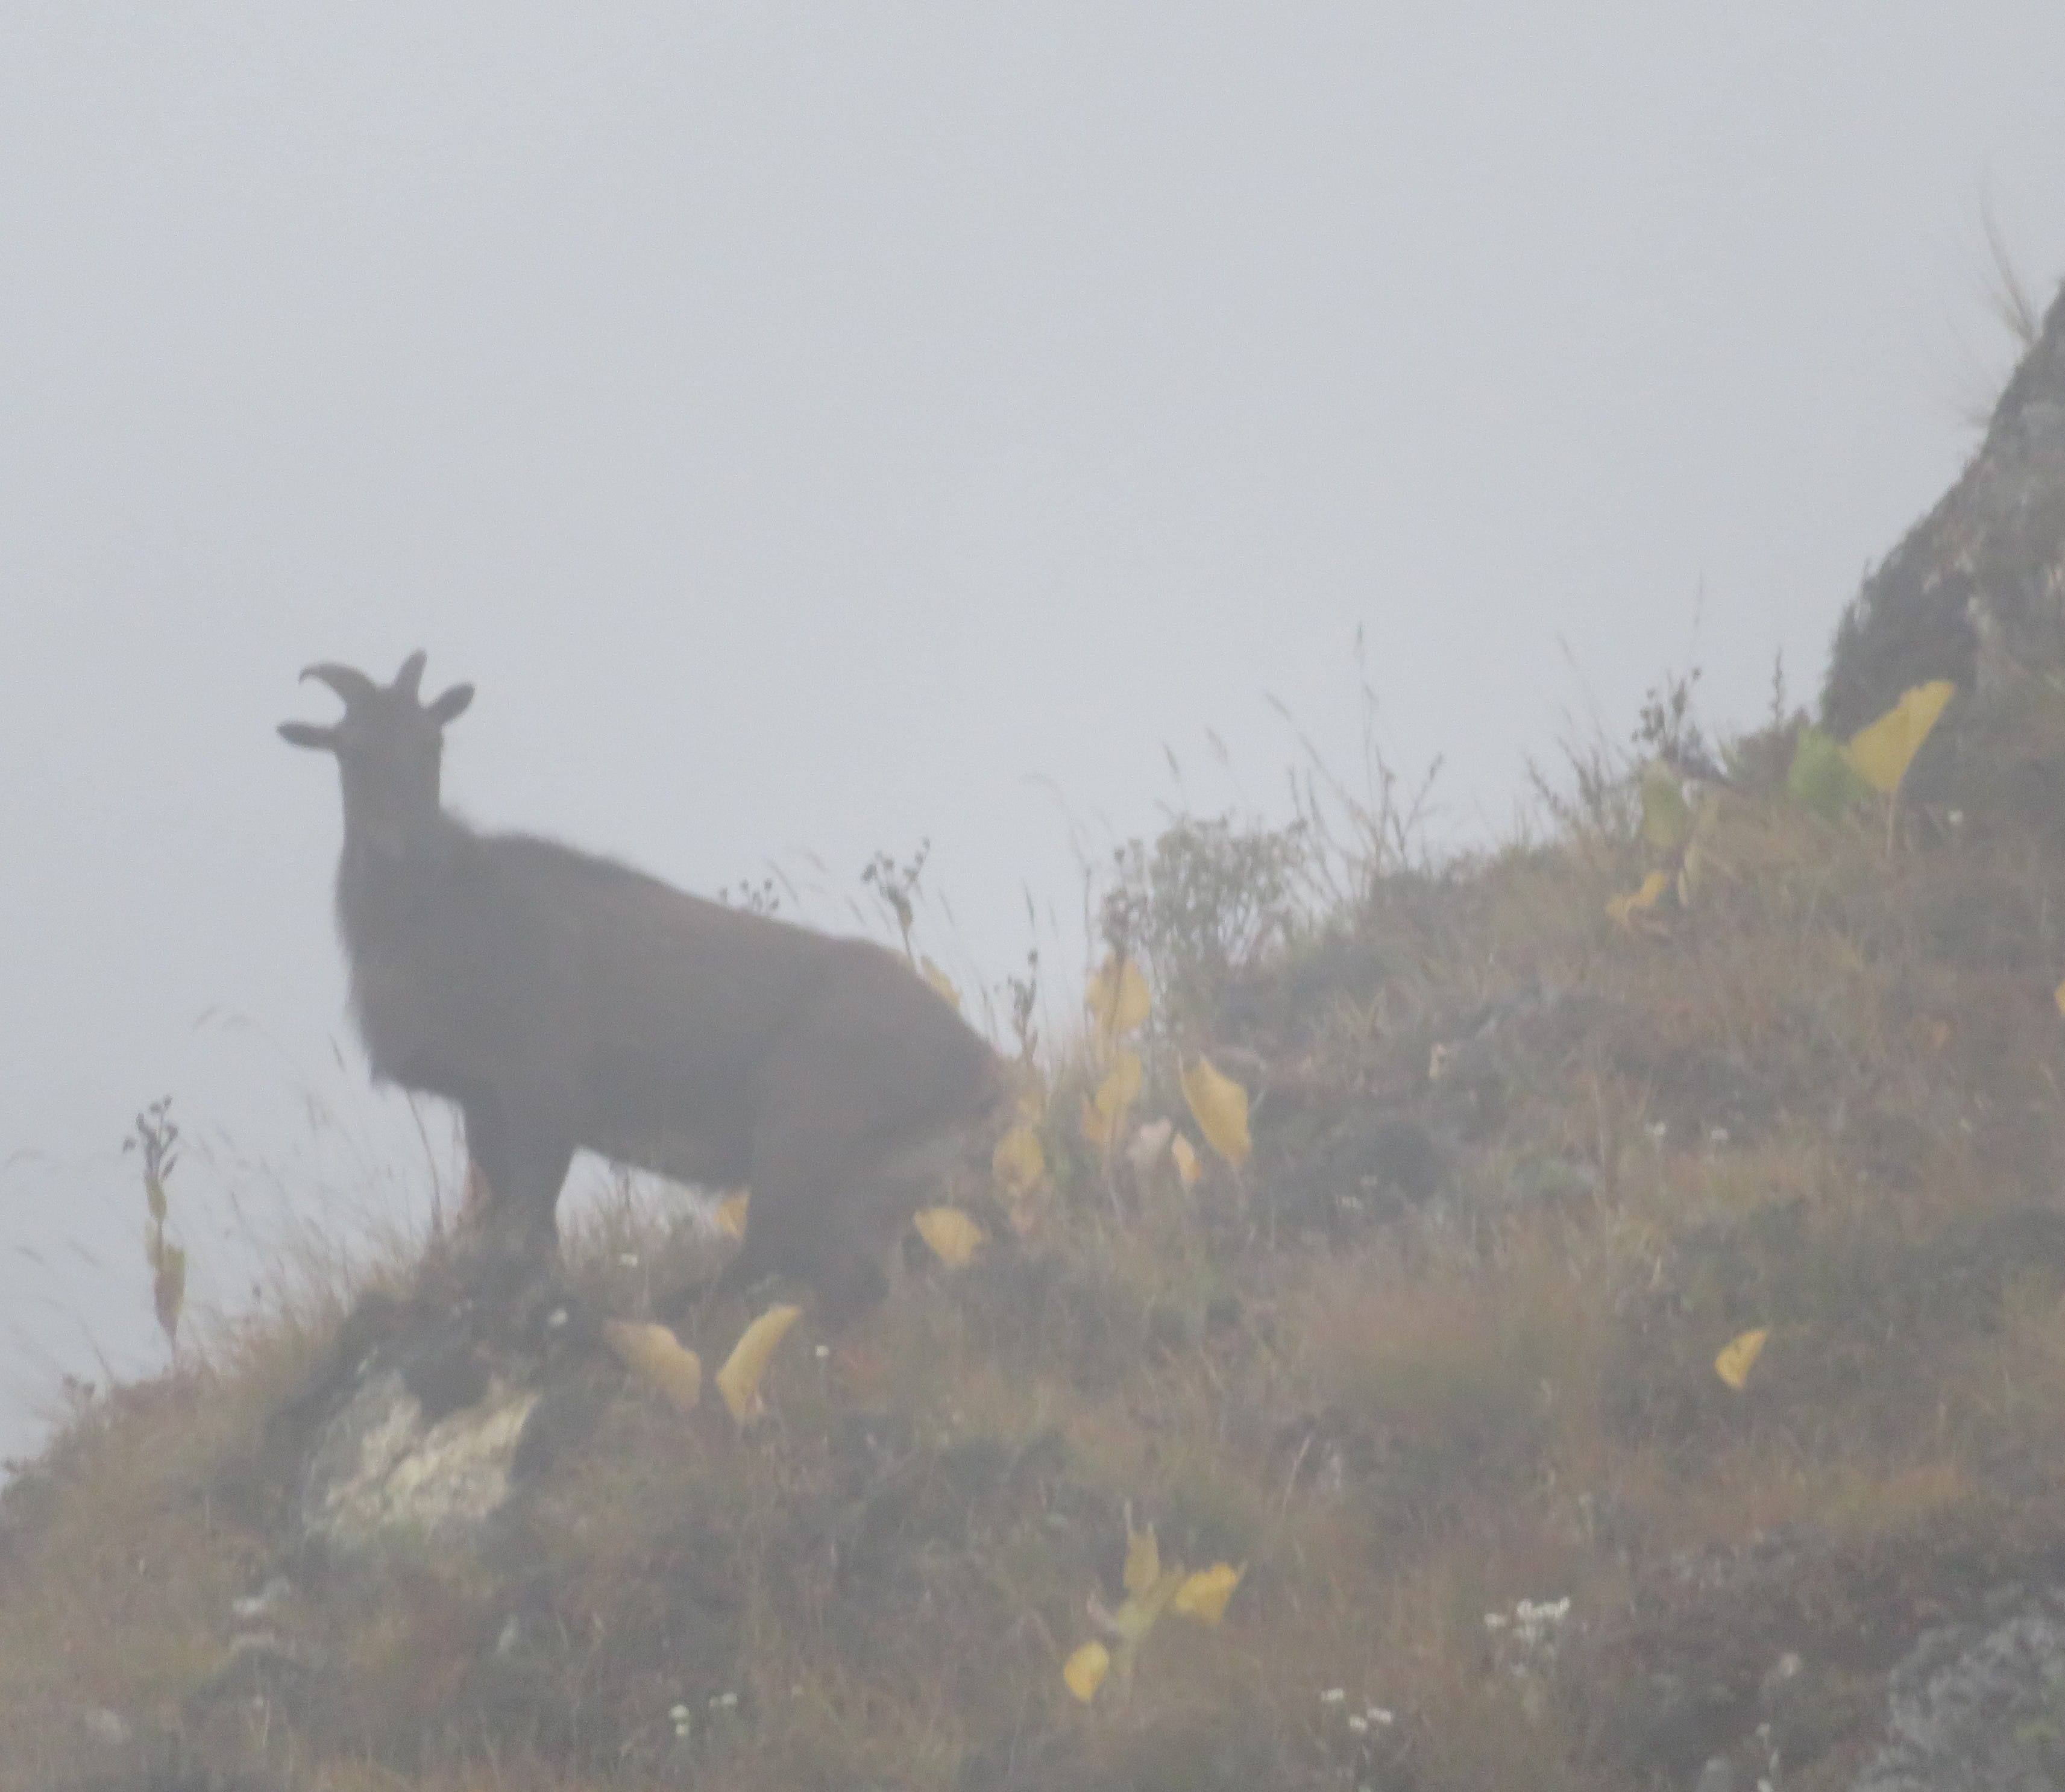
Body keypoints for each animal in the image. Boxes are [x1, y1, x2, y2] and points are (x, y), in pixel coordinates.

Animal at [280, 652, 1004, 1316]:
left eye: (432, 743)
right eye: (351, 750)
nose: (409, 847)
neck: (435, 917)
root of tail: (982, 1072)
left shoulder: (545, 1090)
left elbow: (533, 1232)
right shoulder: (482, 1102)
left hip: (802, 1141)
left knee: (779, 1265)